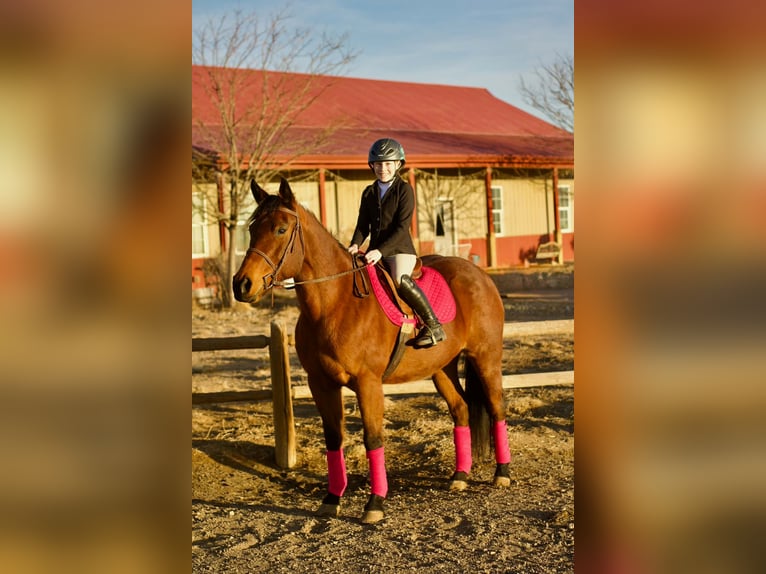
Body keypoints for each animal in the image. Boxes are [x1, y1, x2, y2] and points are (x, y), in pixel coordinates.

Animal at [233, 178, 511, 524]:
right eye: (252, 227)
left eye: (281, 229)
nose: (241, 285)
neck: (334, 304)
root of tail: (479, 275)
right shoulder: (321, 383)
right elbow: (333, 438)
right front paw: (331, 499)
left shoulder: (368, 383)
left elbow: (373, 438)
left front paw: (375, 504)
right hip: (441, 368)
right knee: (460, 409)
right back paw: (460, 476)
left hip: (486, 358)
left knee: (497, 407)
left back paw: (502, 473)